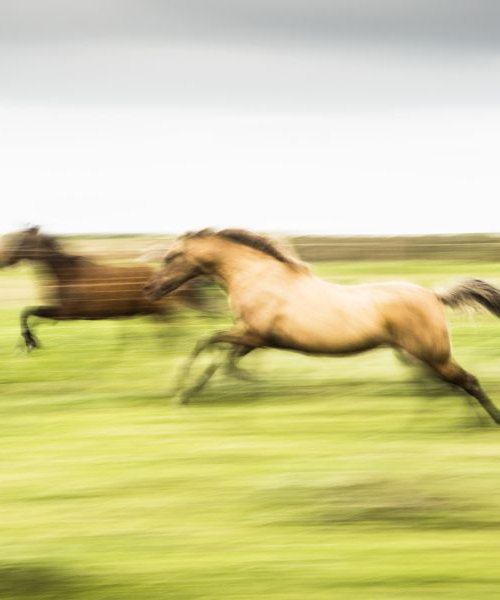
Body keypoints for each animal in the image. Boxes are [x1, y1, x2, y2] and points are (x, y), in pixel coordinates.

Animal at [146, 229, 500, 422]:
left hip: (432, 353)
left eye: (171, 256)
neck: (258, 278)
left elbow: (207, 344)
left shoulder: (253, 335)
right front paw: (201, 388)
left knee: (466, 380)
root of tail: (433, 295)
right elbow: (219, 355)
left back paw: (488, 422)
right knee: (450, 384)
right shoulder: (252, 339)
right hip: (418, 355)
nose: (150, 289)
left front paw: (182, 391)